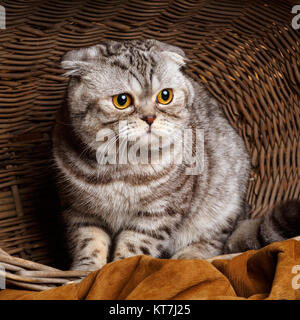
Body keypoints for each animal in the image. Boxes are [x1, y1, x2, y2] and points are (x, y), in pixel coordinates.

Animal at [54, 39, 300, 270]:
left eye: (165, 96)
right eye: (121, 100)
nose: (150, 117)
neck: (122, 170)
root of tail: (244, 212)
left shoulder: (158, 213)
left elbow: (135, 245)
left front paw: (122, 266)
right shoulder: (80, 210)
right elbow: (88, 243)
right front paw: (84, 272)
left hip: (224, 205)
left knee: (214, 241)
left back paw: (189, 257)